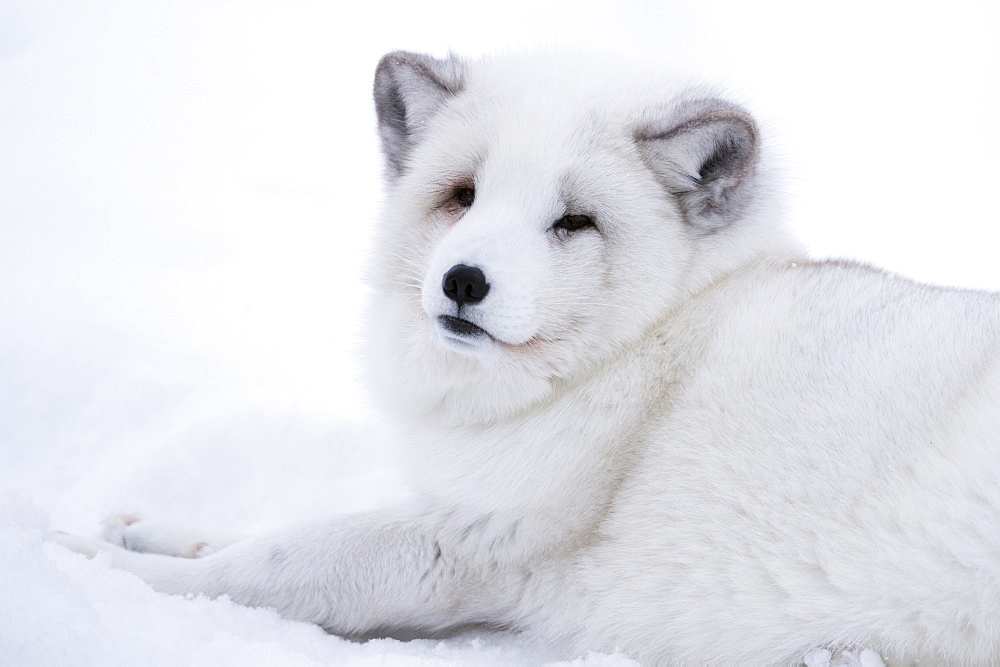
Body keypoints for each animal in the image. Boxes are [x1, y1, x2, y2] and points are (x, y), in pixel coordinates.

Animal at [56, 51, 1000, 664]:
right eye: (462, 195)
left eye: (573, 221)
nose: (463, 281)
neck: (649, 344)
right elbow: (261, 535)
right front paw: (152, 528)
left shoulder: (476, 541)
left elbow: (270, 565)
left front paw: (86, 560)